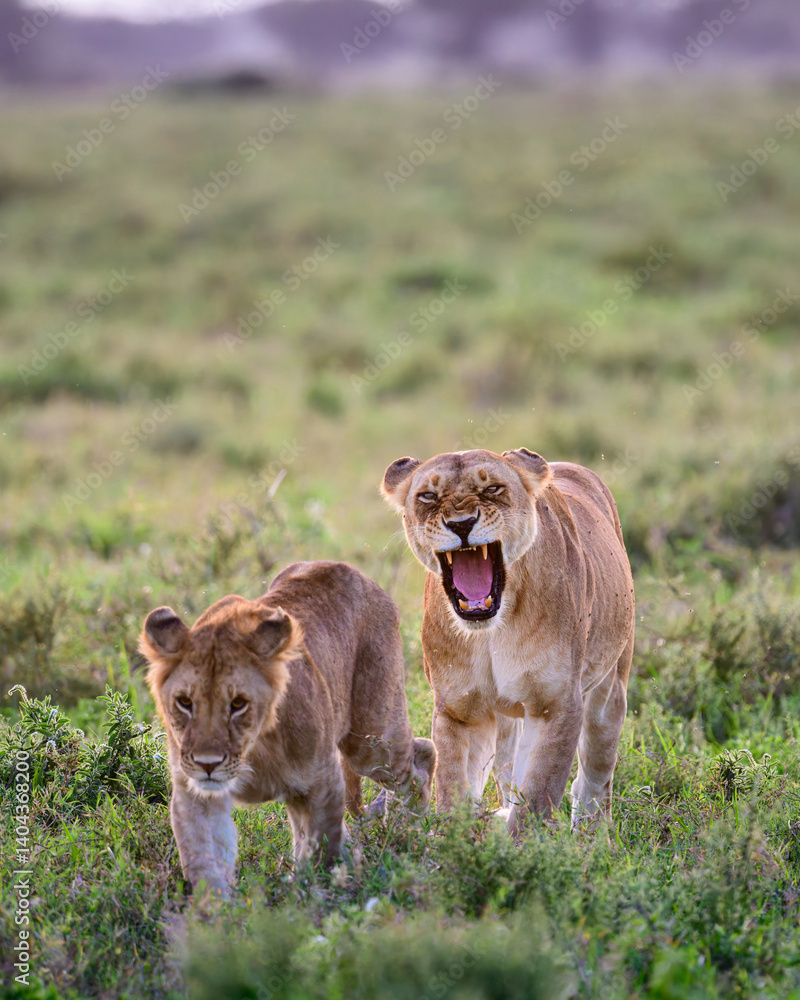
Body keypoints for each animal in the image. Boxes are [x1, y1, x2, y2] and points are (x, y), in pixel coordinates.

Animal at [139, 560, 435, 897]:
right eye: (185, 703)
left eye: (238, 703)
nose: (207, 764)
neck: (253, 749)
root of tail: (349, 569)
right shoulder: (196, 794)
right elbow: (206, 861)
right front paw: (216, 909)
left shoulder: (323, 780)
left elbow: (321, 848)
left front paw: (310, 895)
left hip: (370, 739)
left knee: (421, 756)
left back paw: (406, 831)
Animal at [381, 448, 634, 835]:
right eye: (428, 496)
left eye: (493, 489)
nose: (461, 524)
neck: (491, 631)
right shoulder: (460, 709)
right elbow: (454, 786)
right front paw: (457, 842)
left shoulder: (555, 705)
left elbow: (537, 795)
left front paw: (519, 847)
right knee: (507, 769)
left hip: (609, 690)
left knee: (594, 777)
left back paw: (593, 836)